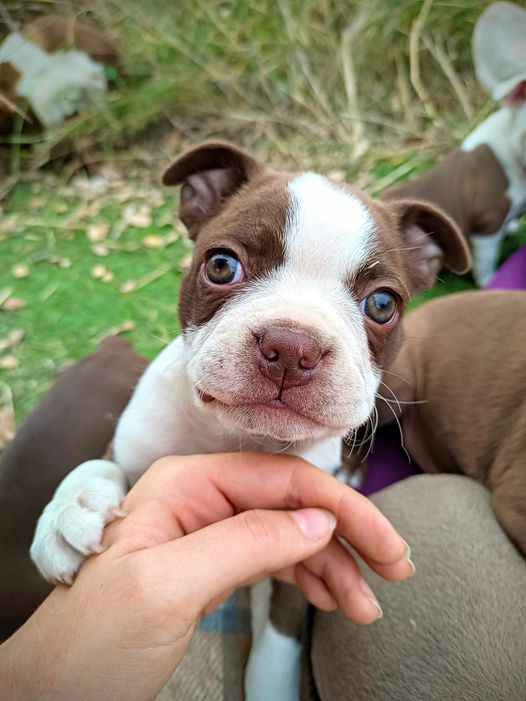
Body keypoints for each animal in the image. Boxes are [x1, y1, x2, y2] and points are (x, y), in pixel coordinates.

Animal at [28, 142, 470, 700]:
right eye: (221, 266)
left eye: (382, 304)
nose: (292, 346)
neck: (230, 435)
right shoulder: (137, 441)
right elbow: (102, 462)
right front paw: (71, 507)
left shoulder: (298, 553)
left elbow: (276, 645)